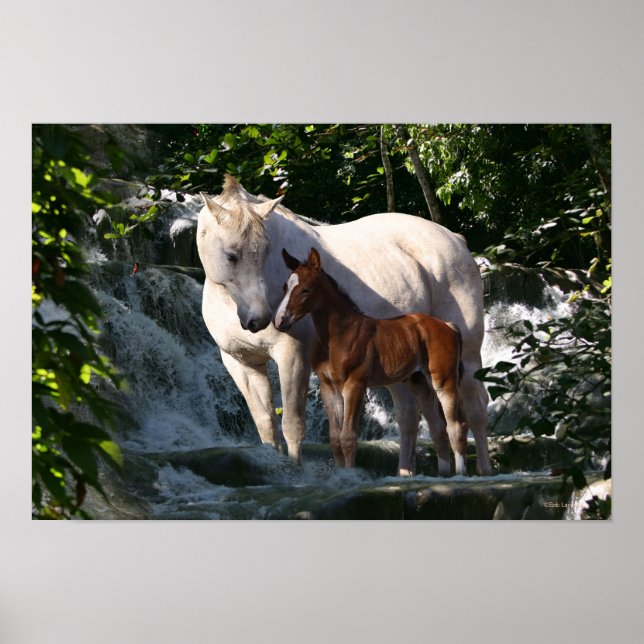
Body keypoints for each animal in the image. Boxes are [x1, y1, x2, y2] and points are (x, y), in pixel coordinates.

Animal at [275, 247, 470, 475]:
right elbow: (335, 439)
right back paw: (443, 475)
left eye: (306, 289)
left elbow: (348, 438)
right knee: (438, 429)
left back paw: (460, 474)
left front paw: (351, 475)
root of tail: (448, 326)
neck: (338, 335)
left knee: (456, 427)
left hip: (444, 381)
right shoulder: (328, 386)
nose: (280, 321)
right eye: (285, 287)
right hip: (420, 382)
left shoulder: (355, 384)